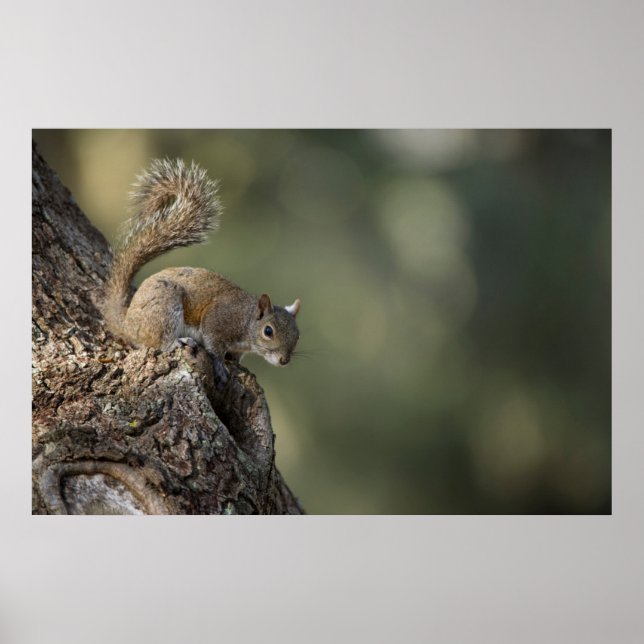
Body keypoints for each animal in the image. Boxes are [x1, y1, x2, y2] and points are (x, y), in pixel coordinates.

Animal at [102, 158, 301, 372]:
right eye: (268, 331)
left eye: (297, 335)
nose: (284, 360)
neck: (246, 319)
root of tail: (126, 322)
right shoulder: (218, 320)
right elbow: (213, 342)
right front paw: (221, 365)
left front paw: (235, 362)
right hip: (164, 308)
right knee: (158, 341)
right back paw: (175, 342)